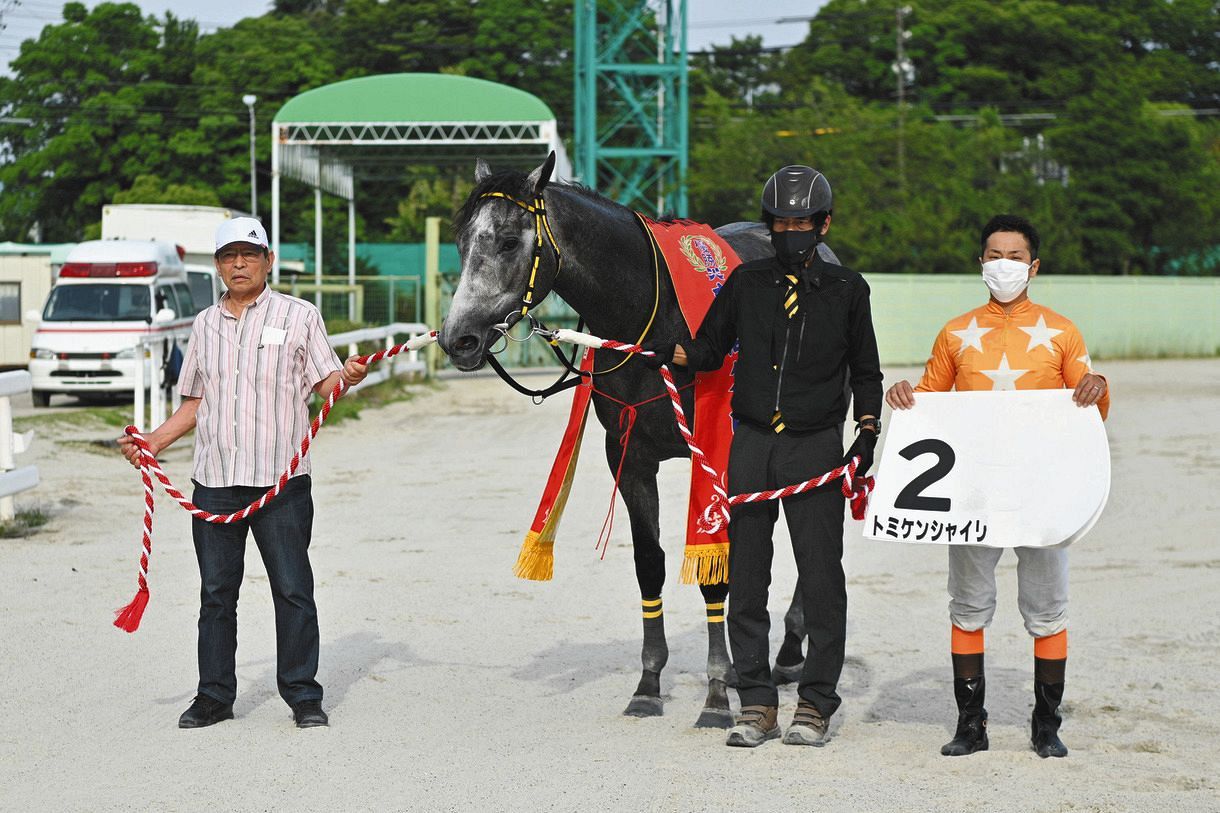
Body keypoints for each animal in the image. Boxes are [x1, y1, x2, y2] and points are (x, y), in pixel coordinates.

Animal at [439, 155, 819, 722]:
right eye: (462, 241)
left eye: (507, 241)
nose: (457, 339)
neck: (654, 323)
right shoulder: (631, 457)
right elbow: (651, 565)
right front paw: (649, 683)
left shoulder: (714, 458)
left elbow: (715, 570)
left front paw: (715, 693)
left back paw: (791, 650)